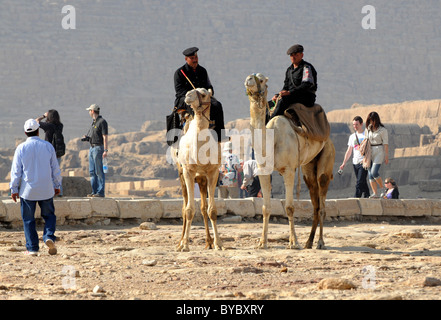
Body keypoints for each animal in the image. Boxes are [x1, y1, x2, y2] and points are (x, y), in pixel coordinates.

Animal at [244, 74, 334, 249]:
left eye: (262, 79)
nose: (249, 79)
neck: (272, 139)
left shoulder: (289, 170)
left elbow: (290, 207)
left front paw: (294, 243)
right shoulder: (263, 170)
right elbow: (265, 207)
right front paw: (262, 243)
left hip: (326, 157)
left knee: (322, 203)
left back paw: (320, 242)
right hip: (308, 167)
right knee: (315, 202)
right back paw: (309, 242)